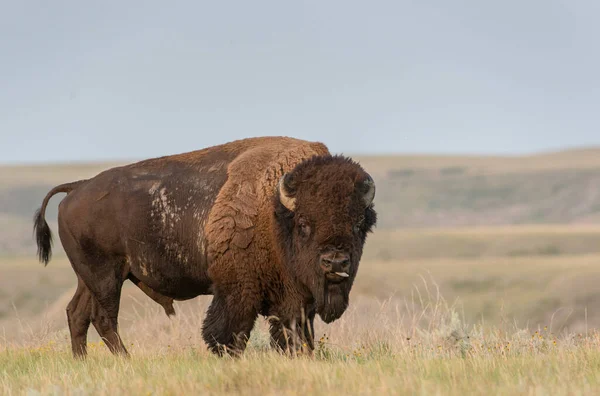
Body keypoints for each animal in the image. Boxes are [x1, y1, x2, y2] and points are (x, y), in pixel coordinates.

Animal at [32, 137, 376, 358]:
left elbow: (296, 335)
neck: (276, 213)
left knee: (77, 314)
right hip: (106, 277)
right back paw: (125, 361)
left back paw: (83, 362)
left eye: (360, 223)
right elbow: (229, 334)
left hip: (89, 278)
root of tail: (77, 188)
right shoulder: (238, 292)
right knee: (104, 318)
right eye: (304, 223)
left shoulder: (297, 302)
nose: (335, 262)